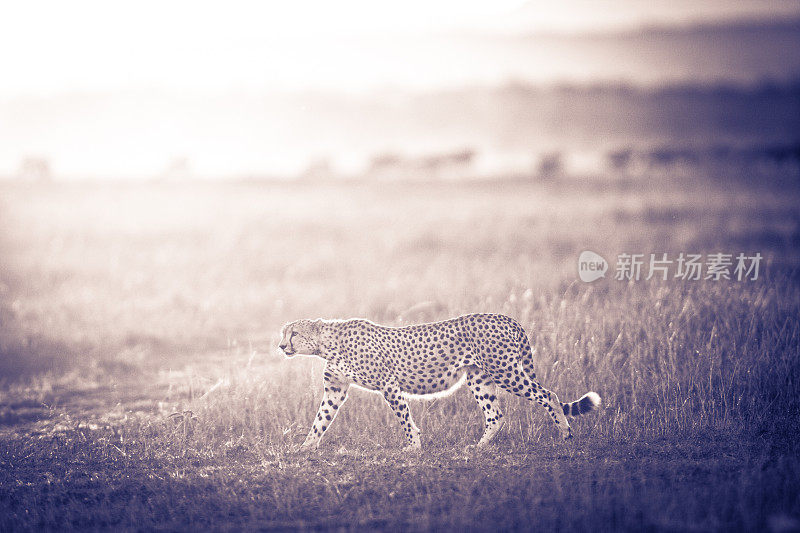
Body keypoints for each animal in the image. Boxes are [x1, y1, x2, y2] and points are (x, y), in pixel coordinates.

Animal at [278, 314, 596, 446]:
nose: (281, 346)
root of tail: (506, 317)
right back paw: (478, 448)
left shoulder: (389, 384)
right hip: (479, 378)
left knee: (549, 395)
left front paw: (413, 447)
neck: (327, 344)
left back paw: (566, 434)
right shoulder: (335, 388)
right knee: (495, 414)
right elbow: (320, 420)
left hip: (505, 372)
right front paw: (304, 449)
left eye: (293, 333)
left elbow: (404, 418)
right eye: (284, 333)